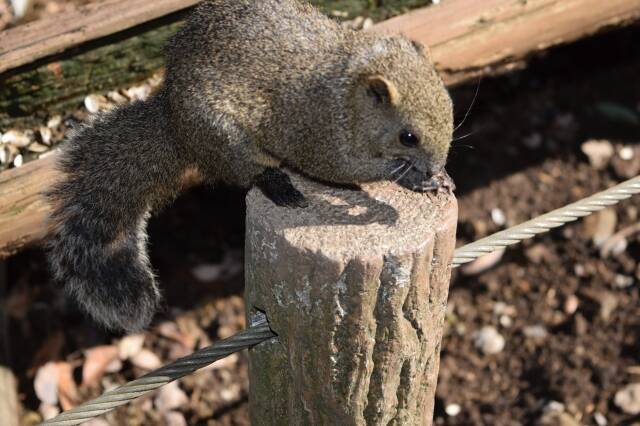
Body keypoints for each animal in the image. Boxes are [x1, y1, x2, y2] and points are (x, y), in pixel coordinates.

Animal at [45, 0, 456, 332]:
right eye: (408, 137)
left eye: (449, 105)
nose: (435, 165)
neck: (345, 96)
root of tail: (174, 123)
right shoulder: (320, 140)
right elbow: (347, 173)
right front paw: (413, 181)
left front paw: (438, 178)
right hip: (225, 140)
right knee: (247, 172)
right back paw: (279, 185)